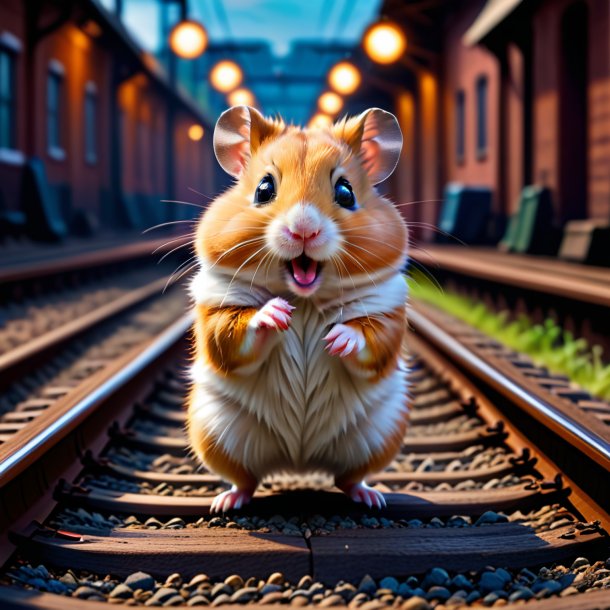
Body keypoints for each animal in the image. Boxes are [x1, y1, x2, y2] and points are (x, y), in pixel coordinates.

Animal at [188, 104, 408, 508]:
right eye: (263, 189)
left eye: (345, 191)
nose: (304, 229)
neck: (305, 300)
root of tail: (299, 463)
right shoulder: (217, 306)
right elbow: (231, 336)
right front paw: (276, 314)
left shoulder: (386, 308)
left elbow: (373, 340)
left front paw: (336, 340)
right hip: (214, 432)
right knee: (245, 478)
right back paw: (226, 502)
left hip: (381, 434)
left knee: (348, 477)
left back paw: (371, 498)